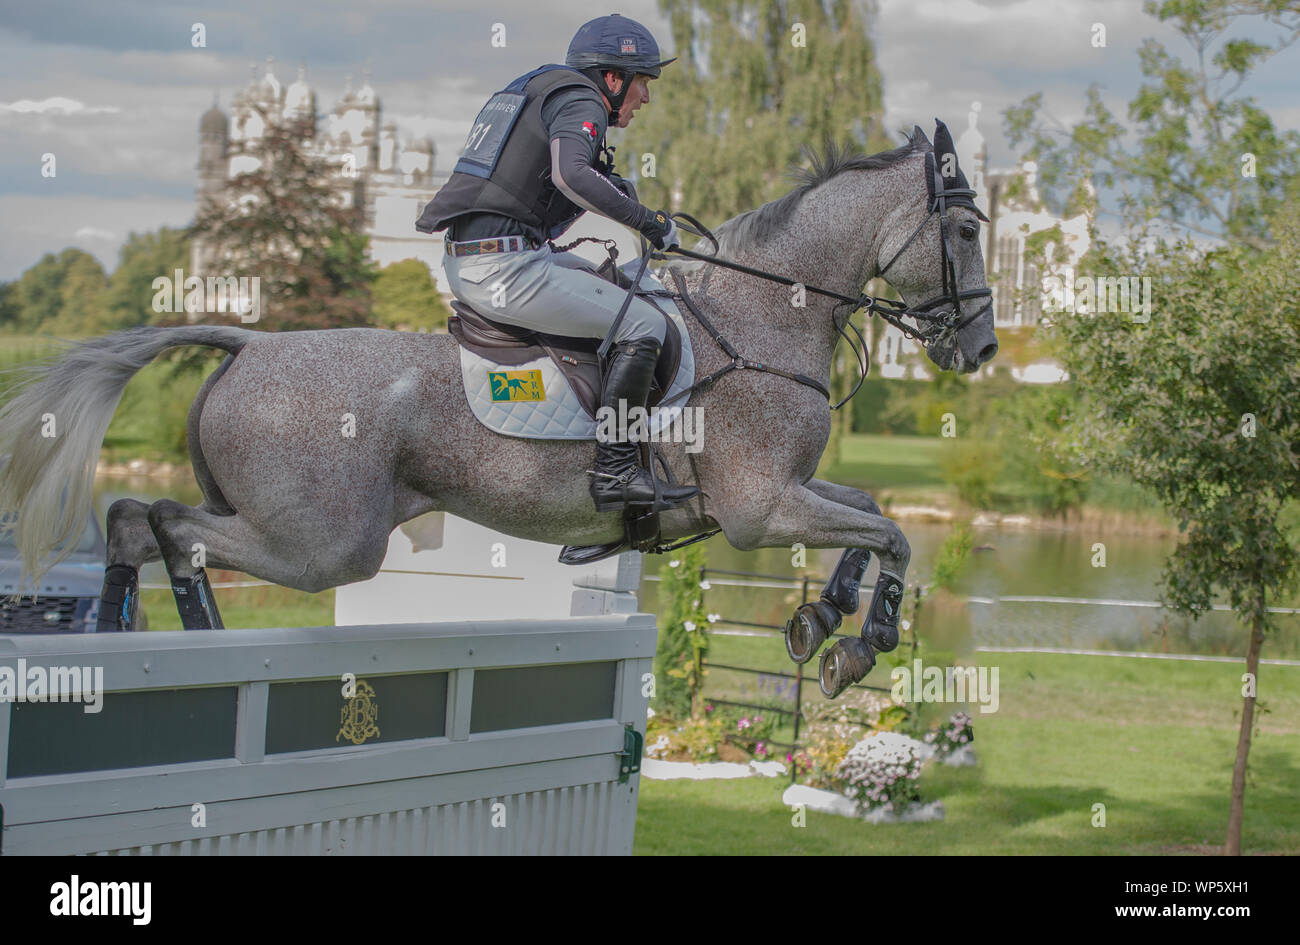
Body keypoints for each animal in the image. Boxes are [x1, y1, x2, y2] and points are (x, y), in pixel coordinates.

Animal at [0, 125, 993, 696]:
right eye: (966, 229)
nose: (980, 348)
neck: (760, 316)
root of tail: (250, 345)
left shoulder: (783, 494)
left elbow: (870, 514)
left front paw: (825, 619)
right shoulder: (759, 508)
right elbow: (891, 532)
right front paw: (863, 641)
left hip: (282, 519)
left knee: (133, 518)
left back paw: (140, 638)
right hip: (324, 541)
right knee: (168, 522)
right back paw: (196, 640)